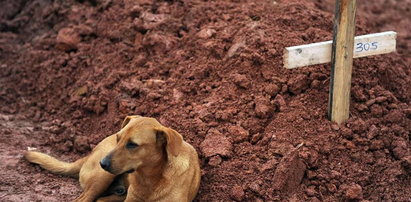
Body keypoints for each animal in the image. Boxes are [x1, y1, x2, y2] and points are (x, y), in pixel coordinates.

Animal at [24, 116, 201, 201]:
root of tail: (90, 154)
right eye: (118, 138)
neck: (151, 179)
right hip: (101, 178)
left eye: (132, 144)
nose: (102, 163)